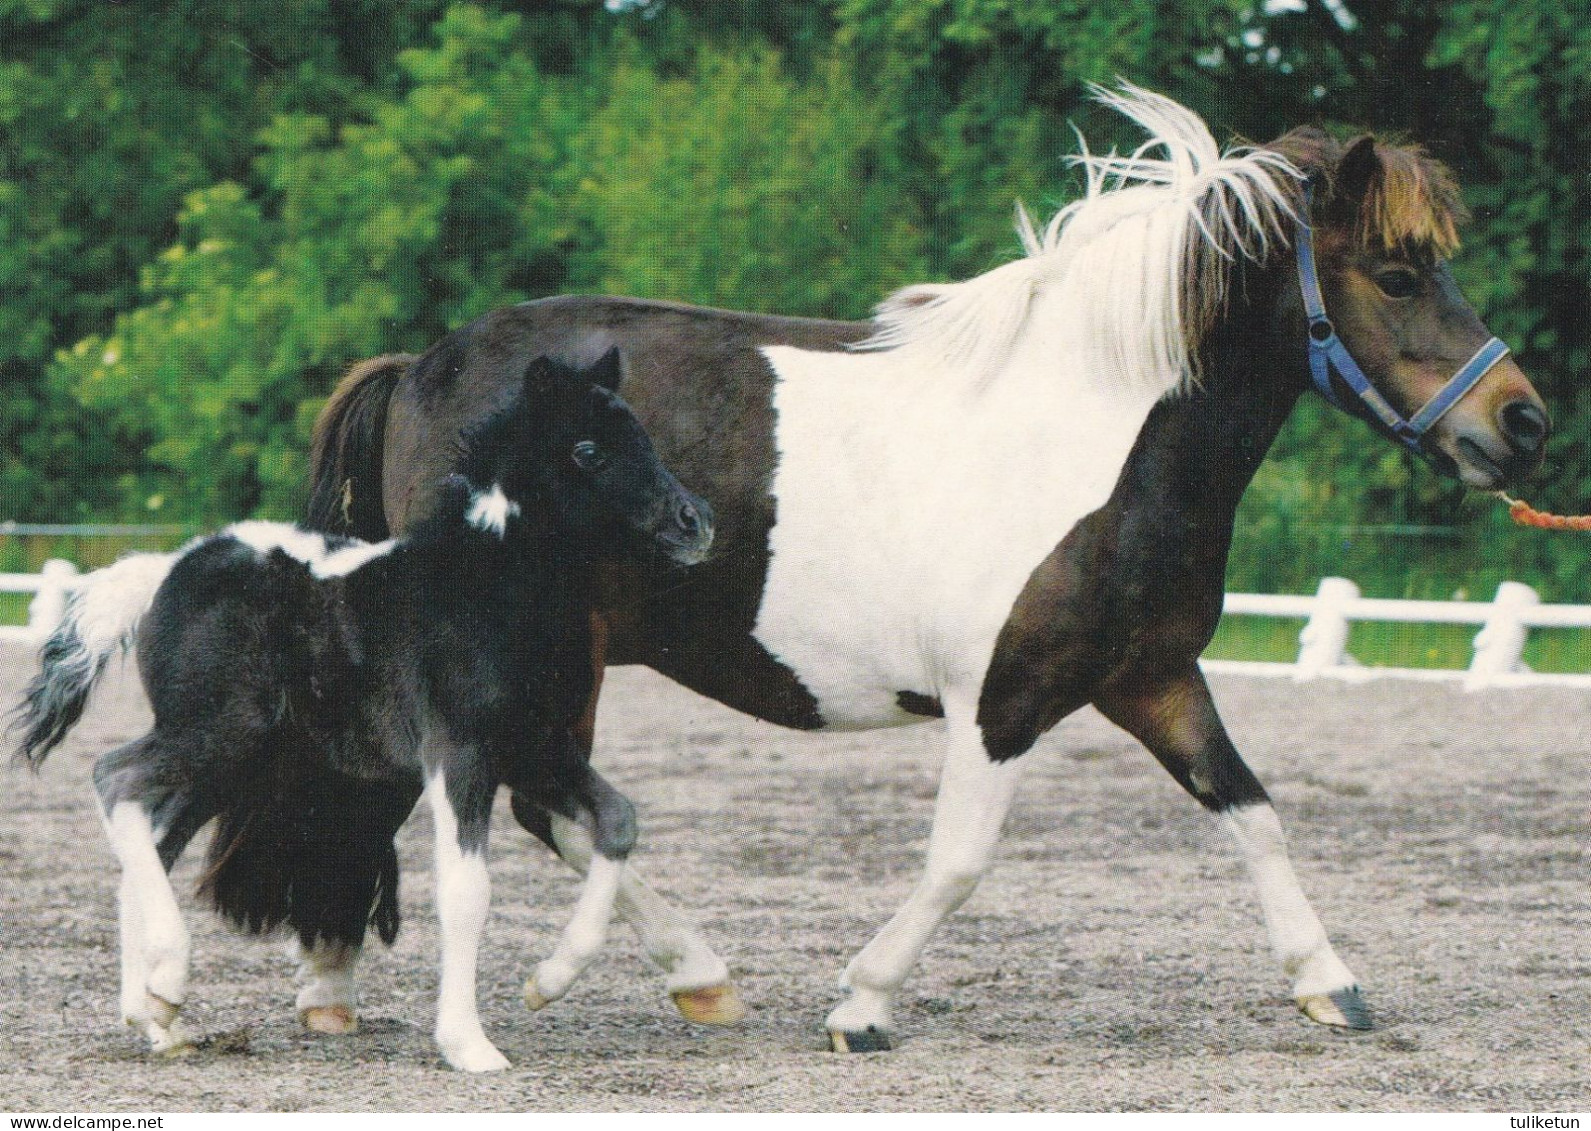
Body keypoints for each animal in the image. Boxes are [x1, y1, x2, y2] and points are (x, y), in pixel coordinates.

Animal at [10, 351, 715, 1068]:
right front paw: (468, 1043)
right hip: (214, 731)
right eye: (587, 449)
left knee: (151, 834)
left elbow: (618, 821)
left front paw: (549, 980)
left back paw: (156, 1013)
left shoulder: (536, 749)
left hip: (234, 757)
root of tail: (165, 569)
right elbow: (467, 891)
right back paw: (168, 980)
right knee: (115, 779)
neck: (487, 586)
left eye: (643, 437)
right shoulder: (461, 751)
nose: (696, 523)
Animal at [307, 88, 1540, 1049]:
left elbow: (1251, 812)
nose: (1518, 423)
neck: (1096, 436)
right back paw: (676, 975)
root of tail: (420, 368)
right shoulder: (999, 700)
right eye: (1397, 275)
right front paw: (863, 1002)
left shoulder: (1151, 678)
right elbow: (959, 861)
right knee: (525, 804)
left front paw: (1329, 983)